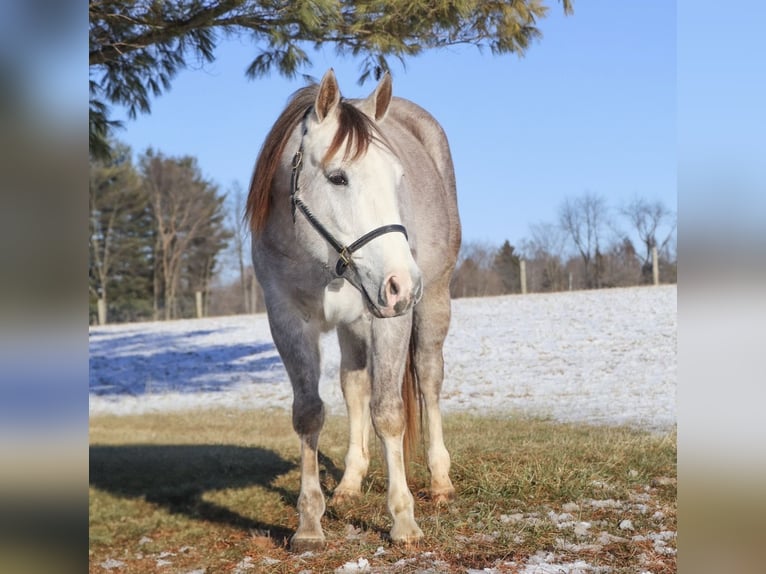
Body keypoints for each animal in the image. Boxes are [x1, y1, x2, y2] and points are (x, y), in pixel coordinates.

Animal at [246, 69, 461, 550]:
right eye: (338, 177)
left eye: (398, 177)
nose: (404, 284)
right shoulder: (286, 320)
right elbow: (309, 413)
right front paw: (309, 523)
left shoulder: (391, 319)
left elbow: (389, 413)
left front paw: (403, 520)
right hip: (356, 326)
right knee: (355, 385)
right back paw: (348, 483)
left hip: (433, 304)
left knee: (429, 379)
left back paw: (440, 482)